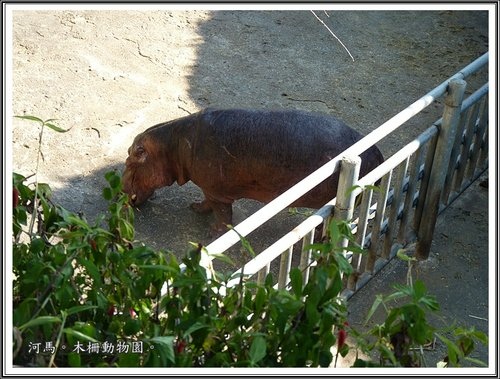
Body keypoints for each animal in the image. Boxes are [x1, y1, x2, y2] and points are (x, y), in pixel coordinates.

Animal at [123, 108, 384, 235]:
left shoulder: (217, 192)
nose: (120, 188)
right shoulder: (209, 189)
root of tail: (379, 155)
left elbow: (223, 213)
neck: (174, 144)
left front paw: (213, 233)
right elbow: (206, 202)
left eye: (130, 159)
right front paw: (195, 208)